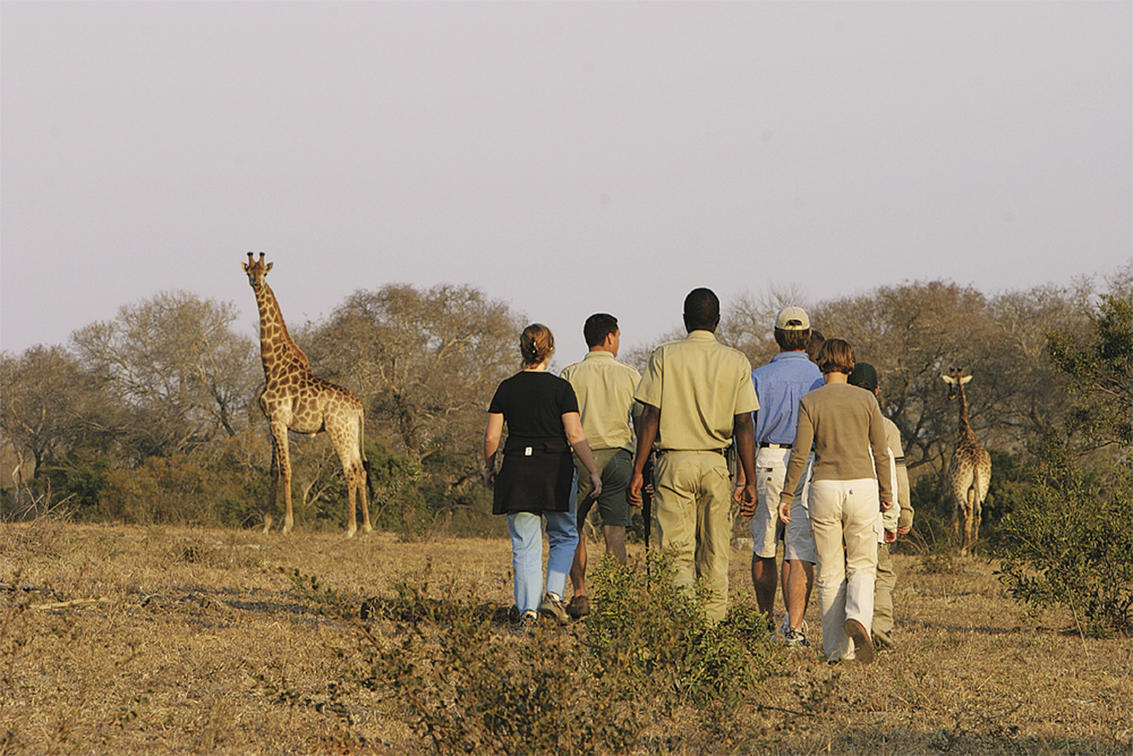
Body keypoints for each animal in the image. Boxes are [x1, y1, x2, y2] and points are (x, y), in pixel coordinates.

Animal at [242, 253, 372, 537]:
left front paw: (286, 524)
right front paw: (266, 525)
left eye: (264, 273)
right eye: (249, 272)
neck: (272, 366)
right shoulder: (271, 421)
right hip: (351, 432)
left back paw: (350, 528)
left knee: (350, 470)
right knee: (360, 469)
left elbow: (287, 469)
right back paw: (367, 526)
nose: (256, 284)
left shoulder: (279, 420)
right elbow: (273, 471)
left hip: (338, 430)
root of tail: (358, 406)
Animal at [941, 367, 991, 556]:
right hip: (983, 484)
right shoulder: (971, 487)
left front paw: (958, 545)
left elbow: (955, 514)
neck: (965, 432)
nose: (949, 396)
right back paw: (974, 549)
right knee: (978, 511)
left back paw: (962, 548)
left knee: (965, 510)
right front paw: (969, 548)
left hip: (959, 484)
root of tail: (976, 464)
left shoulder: (952, 482)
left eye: (950, 384)